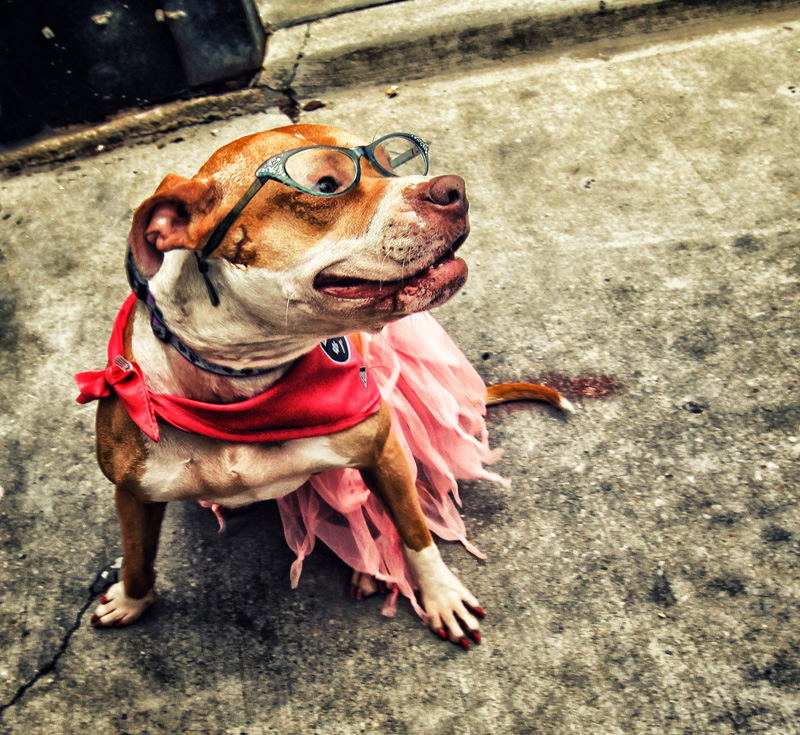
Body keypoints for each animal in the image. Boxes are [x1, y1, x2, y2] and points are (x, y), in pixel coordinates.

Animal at [76, 123, 568, 648]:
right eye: (327, 185)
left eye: (393, 161)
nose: (453, 189)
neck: (240, 383)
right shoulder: (132, 492)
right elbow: (136, 555)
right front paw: (131, 600)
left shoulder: (384, 451)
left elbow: (416, 533)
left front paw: (441, 596)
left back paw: (369, 568)